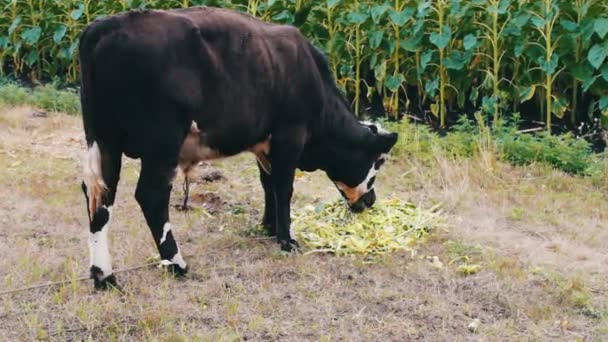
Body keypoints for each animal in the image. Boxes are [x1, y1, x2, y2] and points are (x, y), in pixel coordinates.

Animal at [78, 6, 400, 288]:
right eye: (379, 161)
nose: (370, 201)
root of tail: (106, 26)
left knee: (100, 198)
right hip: (162, 142)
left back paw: (104, 275)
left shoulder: (264, 144)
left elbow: (268, 184)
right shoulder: (291, 134)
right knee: (151, 196)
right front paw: (287, 239)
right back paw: (176, 264)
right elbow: (284, 187)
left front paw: (269, 227)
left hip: (105, 142)